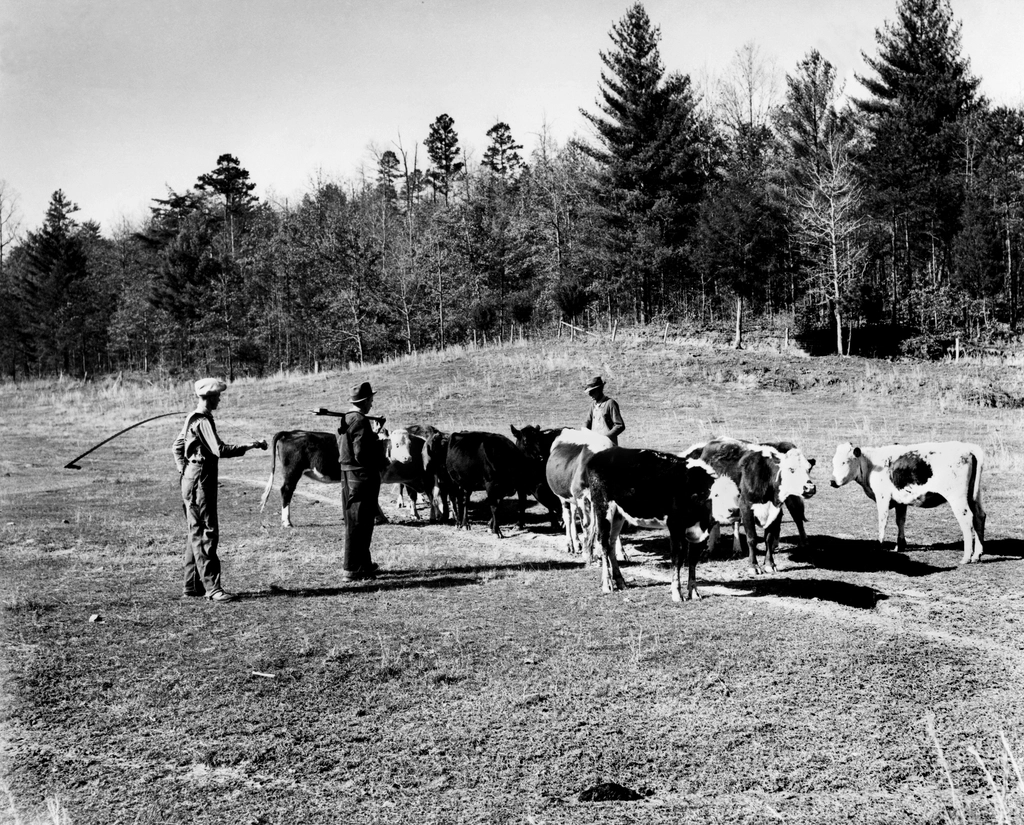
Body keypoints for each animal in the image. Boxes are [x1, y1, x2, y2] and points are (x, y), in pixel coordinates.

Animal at [577, 448, 737, 605]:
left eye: (737, 495)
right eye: (716, 495)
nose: (734, 510)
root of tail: (600, 455)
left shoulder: (698, 534)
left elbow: (692, 560)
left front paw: (694, 593)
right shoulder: (675, 527)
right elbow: (677, 559)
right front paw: (677, 594)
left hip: (618, 515)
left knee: (611, 544)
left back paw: (620, 581)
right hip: (603, 508)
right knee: (603, 544)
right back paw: (607, 584)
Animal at [692, 440, 819, 573]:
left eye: (808, 469)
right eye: (791, 469)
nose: (810, 488)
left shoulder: (775, 510)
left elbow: (768, 538)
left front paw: (769, 564)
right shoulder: (746, 508)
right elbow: (752, 538)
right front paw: (753, 566)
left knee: (797, 517)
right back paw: (710, 548)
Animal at [827, 442, 987, 565]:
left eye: (845, 462)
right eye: (834, 462)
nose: (832, 481)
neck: (873, 464)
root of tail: (968, 448)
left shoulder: (883, 497)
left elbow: (882, 522)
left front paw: (880, 545)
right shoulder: (900, 502)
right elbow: (900, 521)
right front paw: (900, 546)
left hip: (957, 498)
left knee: (967, 520)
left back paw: (966, 557)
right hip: (973, 496)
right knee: (980, 516)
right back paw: (977, 555)